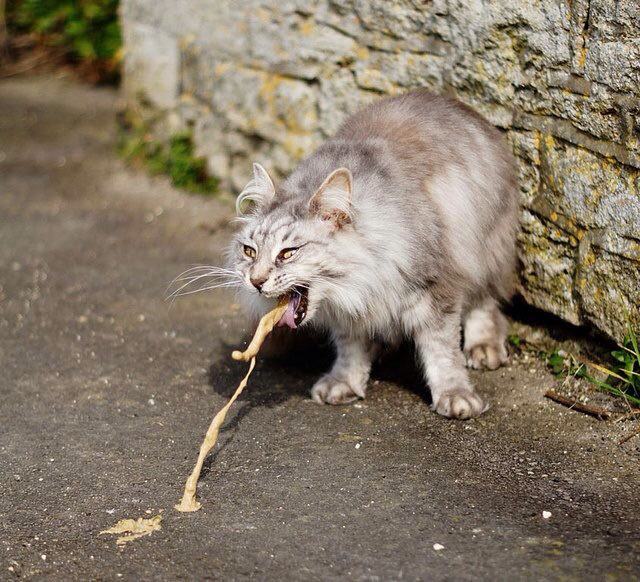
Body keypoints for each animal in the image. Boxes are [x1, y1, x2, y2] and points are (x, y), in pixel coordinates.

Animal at [228, 89, 516, 420]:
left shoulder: (433, 287)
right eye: (249, 251)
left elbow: (442, 350)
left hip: (484, 249)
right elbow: (349, 349)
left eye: (288, 253)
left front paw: (455, 395)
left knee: (486, 302)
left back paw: (483, 346)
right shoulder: (348, 309)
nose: (255, 281)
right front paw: (345, 382)